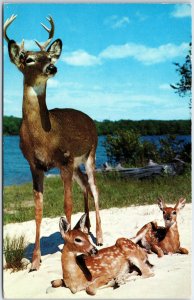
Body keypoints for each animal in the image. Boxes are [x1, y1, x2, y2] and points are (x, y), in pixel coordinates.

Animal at [3, 14, 103, 272]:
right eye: (27, 58)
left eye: (48, 57)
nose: (52, 67)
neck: (44, 138)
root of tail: (90, 118)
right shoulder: (34, 165)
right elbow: (38, 211)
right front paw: (35, 260)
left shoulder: (64, 160)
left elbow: (67, 204)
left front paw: (69, 243)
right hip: (76, 163)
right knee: (85, 186)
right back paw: (87, 227)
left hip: (90, 153)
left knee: (95, 188)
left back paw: (99, 236)